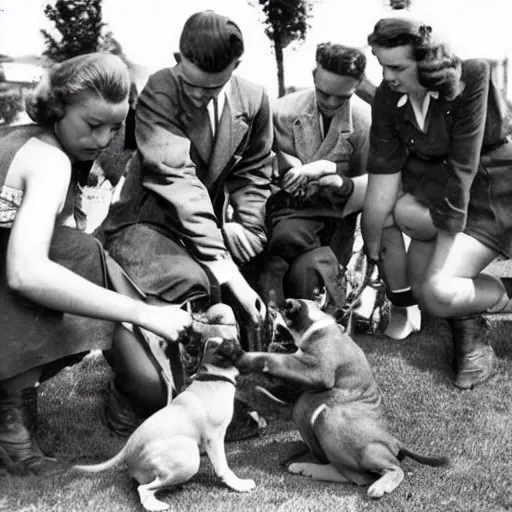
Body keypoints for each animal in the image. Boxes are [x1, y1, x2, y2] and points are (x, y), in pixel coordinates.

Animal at [73, 338, 254, 510]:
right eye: (215, 345)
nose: (232, 340)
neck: (214, 377)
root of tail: (127, 449)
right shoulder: (213, 438)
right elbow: (223, 467)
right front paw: (238, 484)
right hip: (187, 456)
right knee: (144, 489)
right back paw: (156, 505)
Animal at [220, 298, 448, 498]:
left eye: (277, 317)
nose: (269, 309)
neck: (317, 325)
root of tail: (394, 441)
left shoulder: (315, 369)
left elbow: (269, 358)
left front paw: (239, 355)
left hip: (332, 421)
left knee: (381, 472)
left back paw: (380, 485)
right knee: (349, 472)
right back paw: (307, 467)